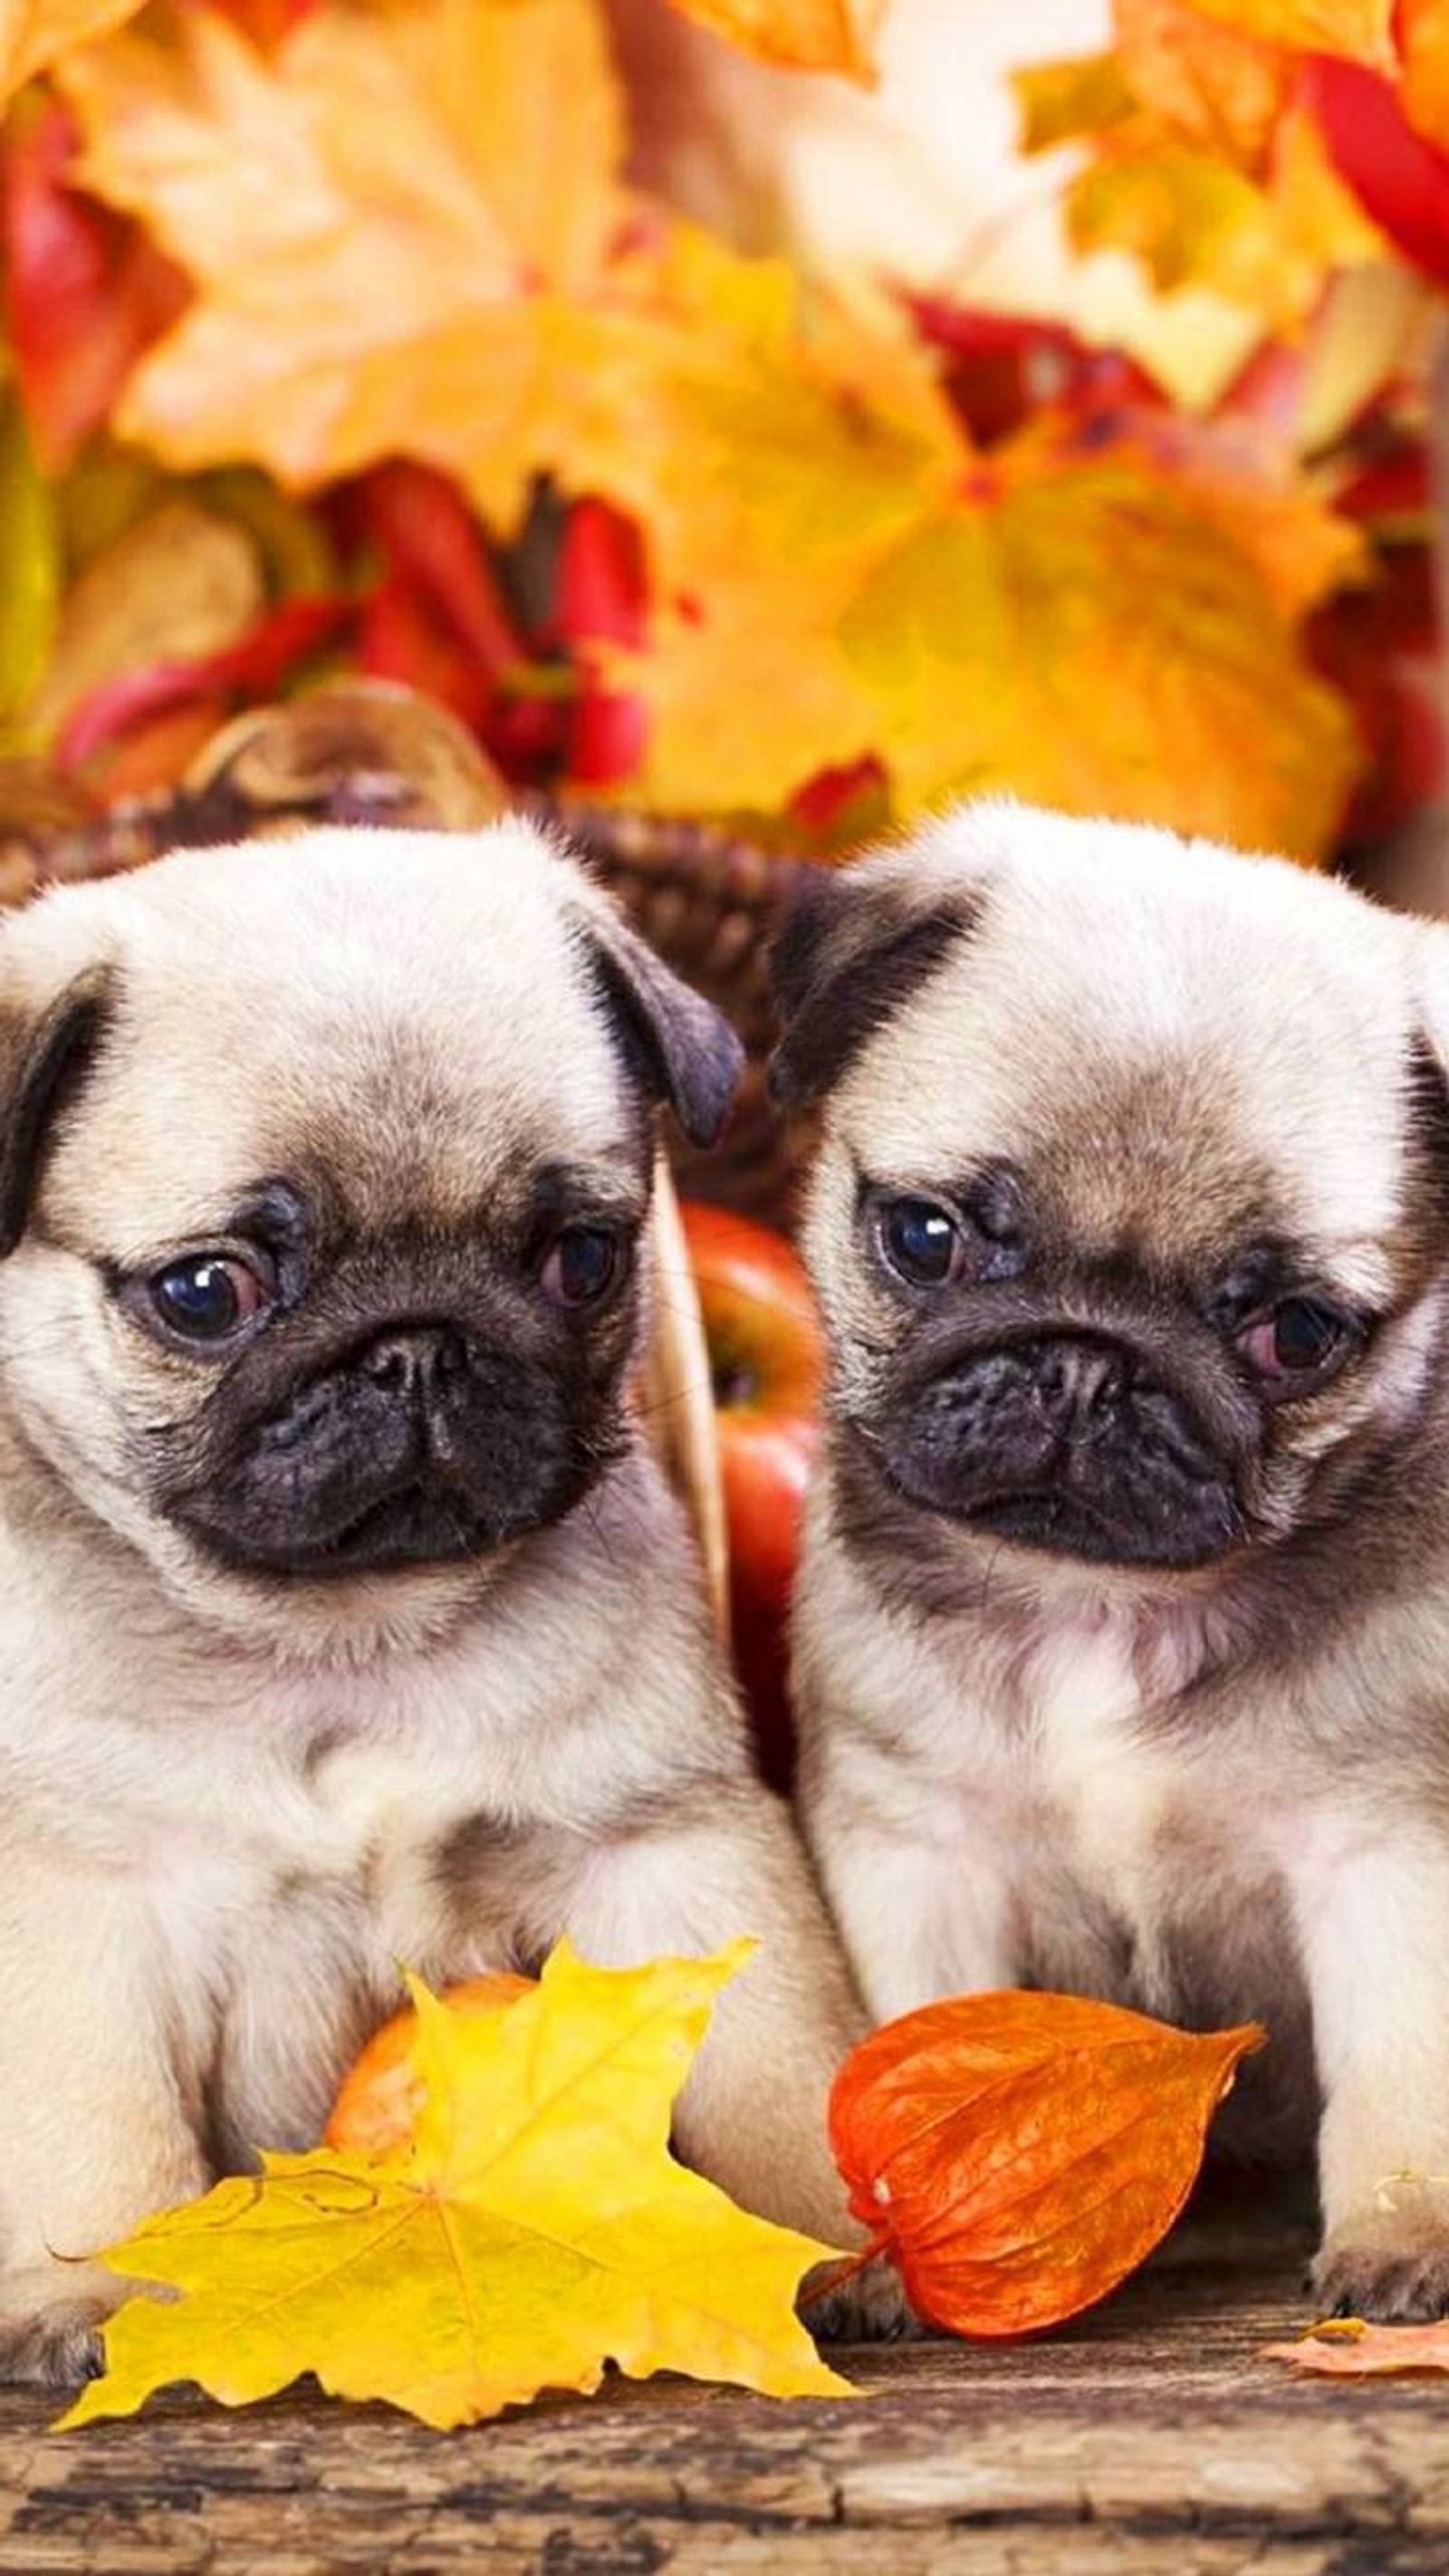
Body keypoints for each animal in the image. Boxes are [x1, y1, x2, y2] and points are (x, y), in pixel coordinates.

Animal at [0, 819, 885, 2369]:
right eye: (207, 1293)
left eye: (583, 1257)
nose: (416, 1344)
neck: (343, 1639)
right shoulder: (79, 1908)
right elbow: (94, 2133)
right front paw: (96, 2299)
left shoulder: (666, 1846)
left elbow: (774, 2059)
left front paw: (816, 2240)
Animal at [777, 798, 1449, 2318]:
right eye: (925, 1238)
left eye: (1297, 1333)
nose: (1092, 1365)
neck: (1099, 1608)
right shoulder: (920, 1850)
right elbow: (911, 2037)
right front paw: (883, 2250)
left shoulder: (1388, 1857)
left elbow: (1400, 2076)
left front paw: (1407, 2236)